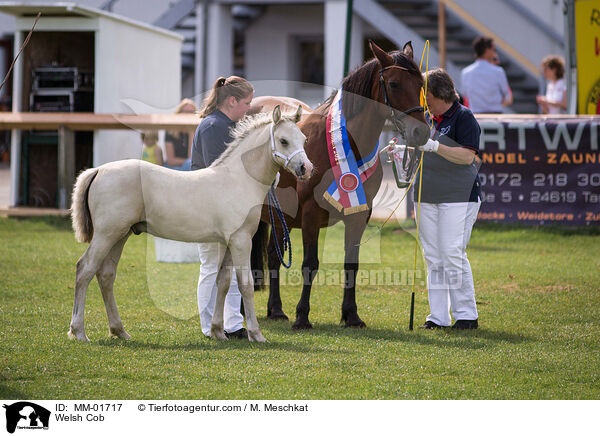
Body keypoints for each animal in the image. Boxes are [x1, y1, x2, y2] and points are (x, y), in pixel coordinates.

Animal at [251, 41, 428, 328]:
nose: (421, 132)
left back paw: (276, 310)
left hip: (279, 218)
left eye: (421, 83)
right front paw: (302, 316)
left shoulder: (360, 214)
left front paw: (351, 315)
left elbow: (351, 264)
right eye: (394, 84)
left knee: (274, 258)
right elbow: (310, 264)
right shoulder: (311, 214)